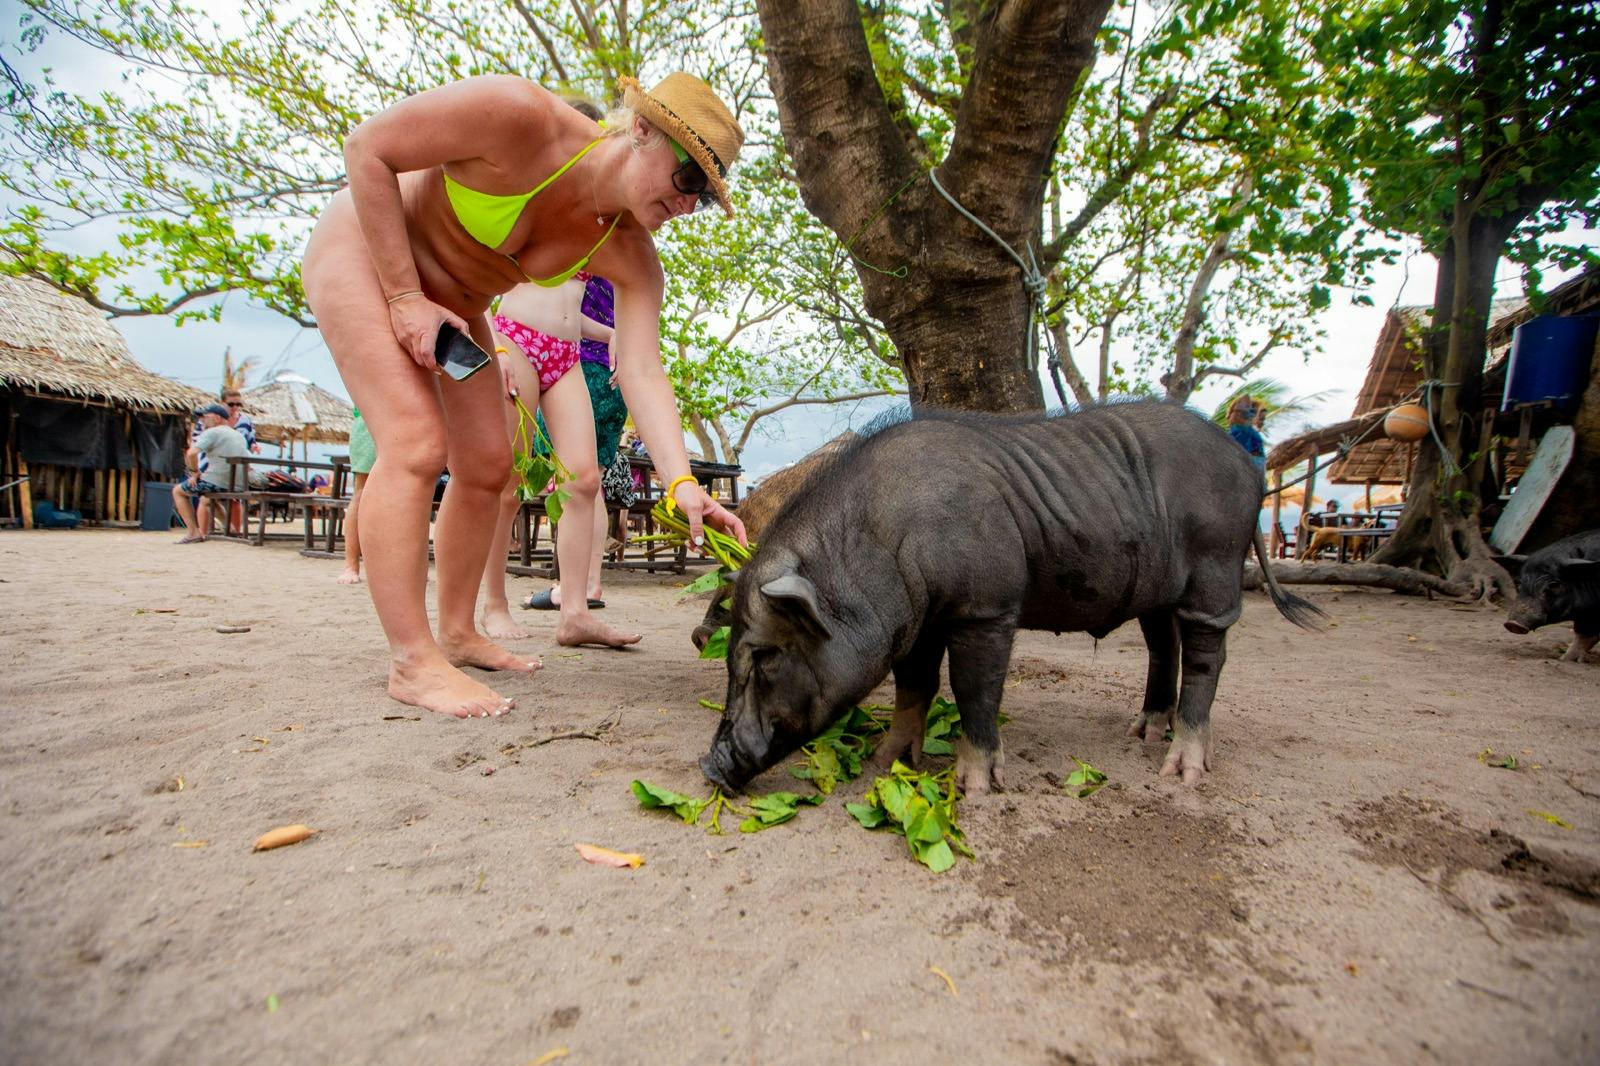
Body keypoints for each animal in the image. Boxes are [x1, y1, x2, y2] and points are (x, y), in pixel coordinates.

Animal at [699, 401, 1325, 795]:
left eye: (765, 657)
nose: (708, 766)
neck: (879, 544)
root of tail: (1248, 467)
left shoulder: (987, 608)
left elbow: (973, 689)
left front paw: (975, 787)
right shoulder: (918, 620)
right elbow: (914, 687)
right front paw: (885, 763)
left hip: (1216, 566)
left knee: (1206, 652)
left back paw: (1182, 772)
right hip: (1156, 589)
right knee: (1160, 644)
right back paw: (1142, 732)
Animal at [1503, 528, 1600, 662]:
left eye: (1554, 585)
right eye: (1519, 583)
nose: (1513, 624)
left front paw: (1565, 660)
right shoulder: (1587, 613)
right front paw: (1564, 659)